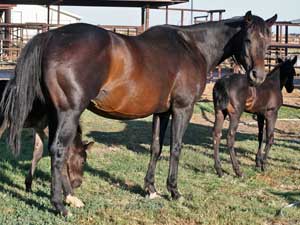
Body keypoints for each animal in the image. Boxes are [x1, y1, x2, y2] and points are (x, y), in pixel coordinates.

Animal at [0, 11, 276, 215]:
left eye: (268, 42)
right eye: (248, 40)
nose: (258, 76)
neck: (192, 47)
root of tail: (51, 36)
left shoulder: (161, 113)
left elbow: (156, 148)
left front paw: (151, 188)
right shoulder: (182, 109)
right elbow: (176, 148)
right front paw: (174, 191)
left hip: (58, 114)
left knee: (58, 151)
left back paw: (70, 198)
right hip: (69, 112)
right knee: (58, 151)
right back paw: (60, 205)